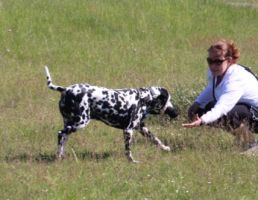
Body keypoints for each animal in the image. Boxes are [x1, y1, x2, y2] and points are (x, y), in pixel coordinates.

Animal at [43, 66, 177, 162]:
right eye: (168, 99)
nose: (176, 113)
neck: (144, 98)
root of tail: (65, 89)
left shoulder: (142, 128)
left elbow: (156, 139)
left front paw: (165, 148)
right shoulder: (128, 131)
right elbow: (128, 151)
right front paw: (132, 161)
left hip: (70, 124)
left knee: (64, 138)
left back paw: (60, 156)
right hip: (80, 122)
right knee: (60, 134)